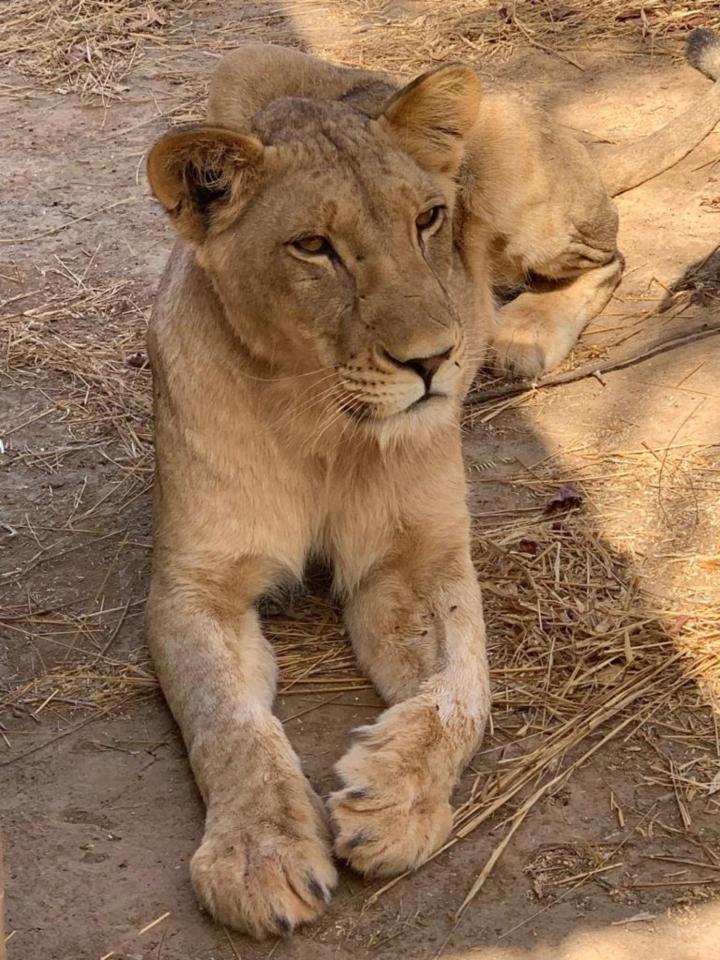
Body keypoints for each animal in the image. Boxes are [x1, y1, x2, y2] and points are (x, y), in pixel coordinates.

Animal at [145, 30, 720, 936]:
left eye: (427, 220)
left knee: (614, 258)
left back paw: (519, 336)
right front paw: (258, 853)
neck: (319, 418)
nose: (434, 361)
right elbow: (227, 721)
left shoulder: (422, 560)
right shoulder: (191, 585)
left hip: (524, 194)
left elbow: (461, 690)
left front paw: (393, 802)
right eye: (314, 247)